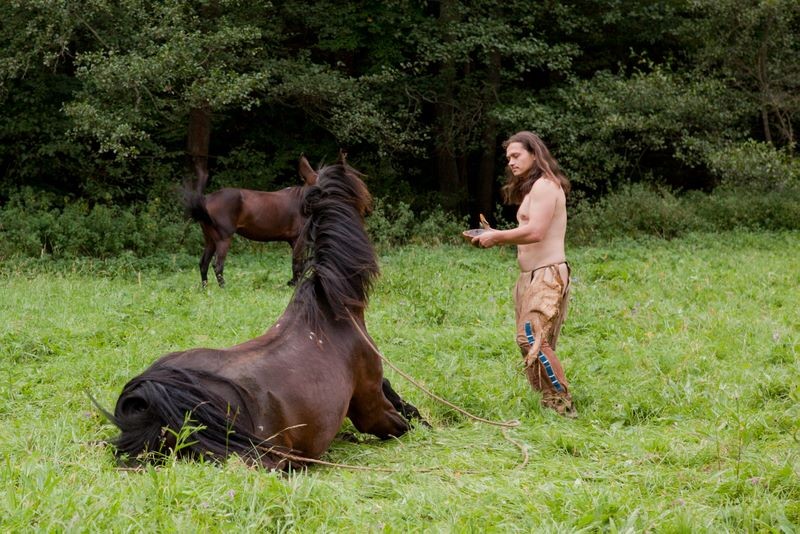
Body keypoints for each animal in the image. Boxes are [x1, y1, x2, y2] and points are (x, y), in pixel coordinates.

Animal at [184, 155, 318, 288]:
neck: (303, 203)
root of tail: (206, 199)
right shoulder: (297, 239)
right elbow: (298, 263)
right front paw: (295, 284)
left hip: (210, 239)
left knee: (203, 263)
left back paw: (205, 288)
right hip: (223, 238)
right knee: (217, 265)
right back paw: (223, 288)